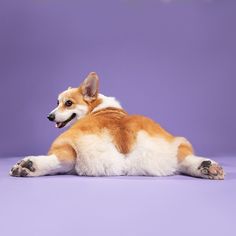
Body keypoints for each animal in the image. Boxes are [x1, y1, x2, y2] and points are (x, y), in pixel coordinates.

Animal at [9, 72, 225, 179]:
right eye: (57, 102)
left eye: (68, 103)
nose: (49, 116)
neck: (97, 107)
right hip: (177, 142)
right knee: (183, 159)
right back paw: (205, 167)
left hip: (63, 145)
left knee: (59, 159)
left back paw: (29, 165)